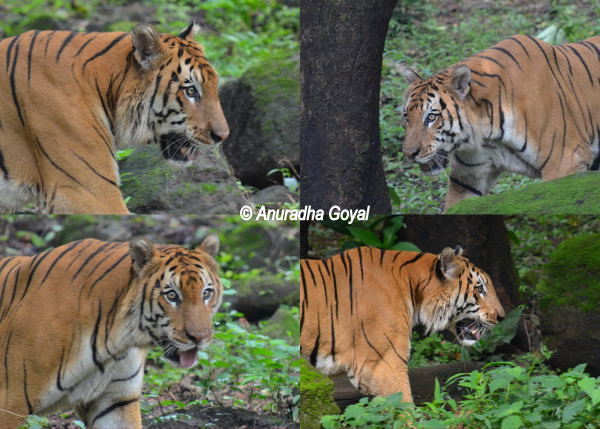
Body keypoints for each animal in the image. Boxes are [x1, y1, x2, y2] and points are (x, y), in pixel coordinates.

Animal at [0, 234, 223, 428]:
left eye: (206, 293)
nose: (200, 338)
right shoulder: (11, 404)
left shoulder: (116, 401)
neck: (117, 340)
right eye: (172, 295)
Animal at [398, 33, 600, 209]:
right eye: (407, 117)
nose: (409, 154)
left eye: (432, 117)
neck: (487, 132)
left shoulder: (565, 162)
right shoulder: (467, 179)